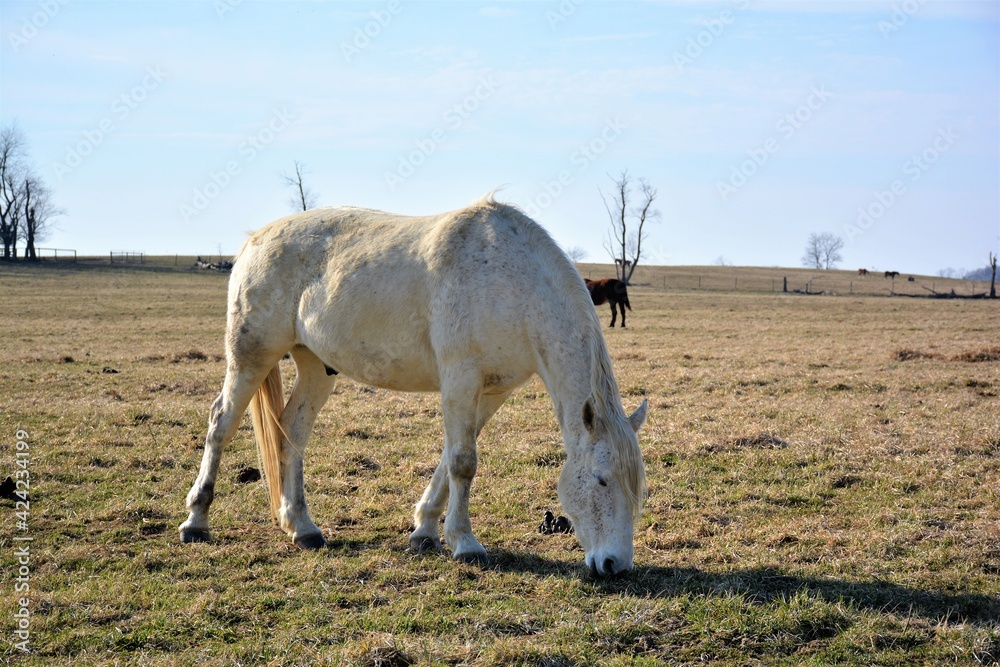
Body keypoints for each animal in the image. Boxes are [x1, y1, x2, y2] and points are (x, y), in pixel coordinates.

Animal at [178, 196, 649, 577]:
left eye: (636, 488)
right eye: (602, 480)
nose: (615, 565)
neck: (511, 282)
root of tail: (253, 241)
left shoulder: (492, 391)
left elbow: (450, 459)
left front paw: (425, 530)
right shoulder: (460, 379)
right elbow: (463, 462)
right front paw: (465, 543)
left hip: (315, 365)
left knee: (292, 430)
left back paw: (302, 527)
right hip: (251, 356)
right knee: (221, 423)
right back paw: (196, 521)